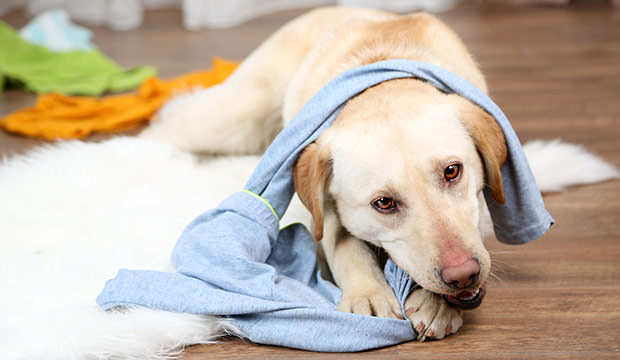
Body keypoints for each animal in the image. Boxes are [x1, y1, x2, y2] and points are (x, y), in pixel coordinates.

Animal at [143, 8, 512, 340]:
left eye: (452, 171)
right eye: (384, 203)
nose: (463, 275)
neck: (381, 85)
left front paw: (436, 304)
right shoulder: (327, 212)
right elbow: (345, 248)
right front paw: (369, 295)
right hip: (233, 118)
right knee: (165, 125)